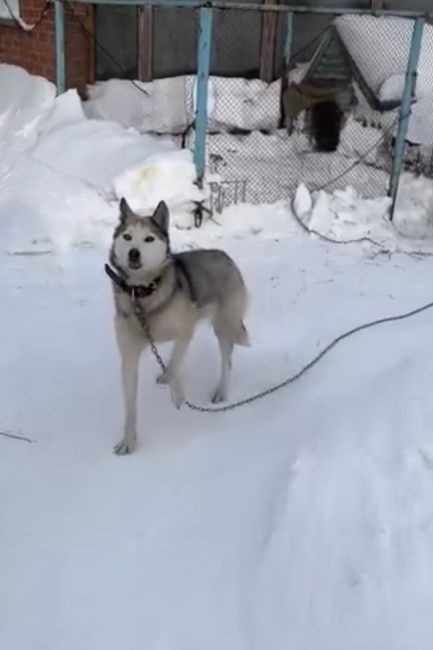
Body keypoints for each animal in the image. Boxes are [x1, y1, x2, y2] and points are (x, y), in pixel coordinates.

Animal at [105, 196, 250, 450]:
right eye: (127, 237)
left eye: (149, 239)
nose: (134, 253)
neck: (142, 295)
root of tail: (224, 256)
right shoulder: (129, 357)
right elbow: (131, 406)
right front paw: (128, 441)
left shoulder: (185, 331)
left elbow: (174, 366)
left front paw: (177, 396)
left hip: (224, 327)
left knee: (226, 361)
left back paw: (220, 392)